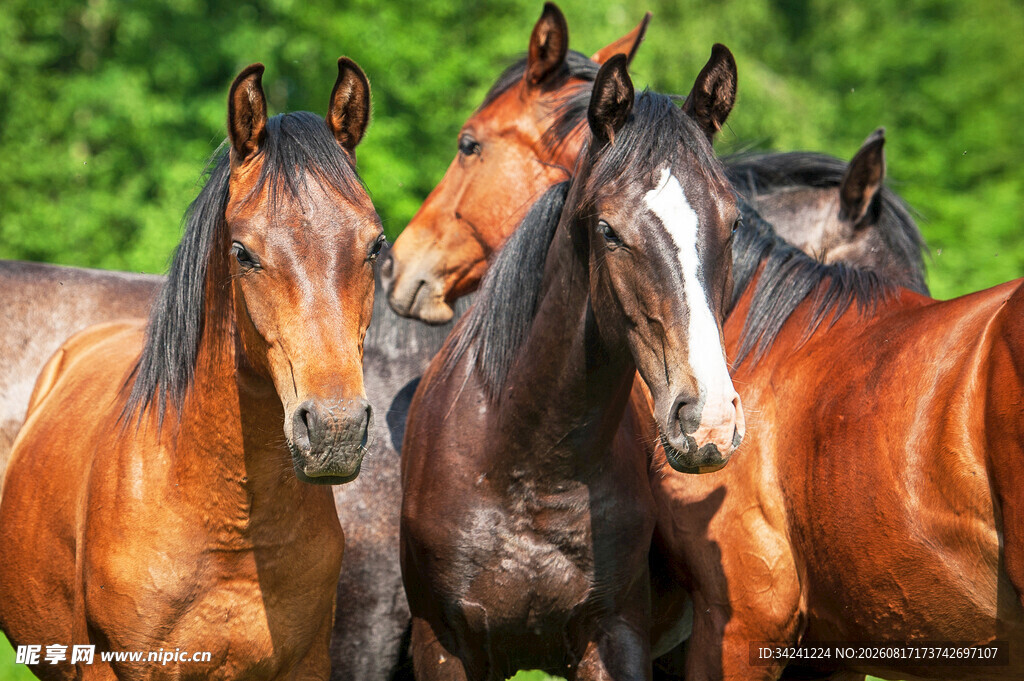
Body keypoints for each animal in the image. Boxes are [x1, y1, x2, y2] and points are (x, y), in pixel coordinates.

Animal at [401, 55, 742, 681]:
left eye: (732, 225)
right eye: (608, 230)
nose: (708, 420)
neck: (532, 464)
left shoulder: (615, 635)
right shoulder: (443, 643)